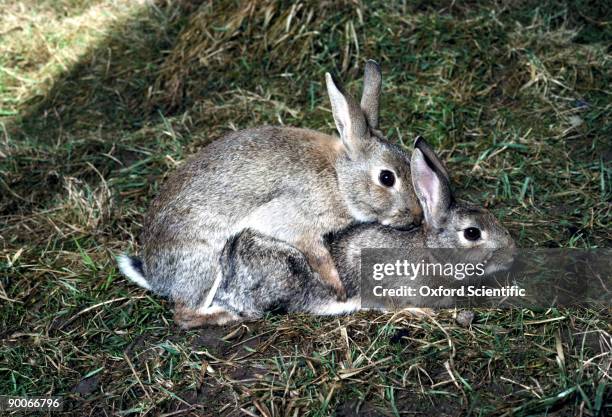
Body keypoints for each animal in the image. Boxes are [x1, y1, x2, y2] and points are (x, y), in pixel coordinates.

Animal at [119, 60, 426, 326]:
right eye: (387, 178)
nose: (418, 217)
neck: (338, 178)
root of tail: (155, 277)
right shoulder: (298, 225)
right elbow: (319, 257)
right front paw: (338, 287)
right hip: (205, 265)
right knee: (184, 314)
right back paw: (225, 316)